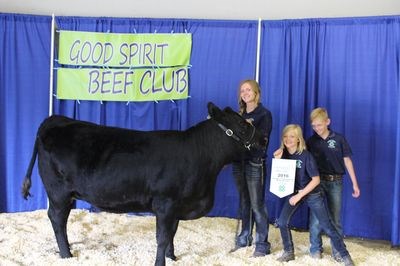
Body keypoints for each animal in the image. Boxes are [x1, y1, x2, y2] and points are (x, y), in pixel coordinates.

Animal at [21, 101, 266, 264]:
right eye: (242, 125)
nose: (264, 139)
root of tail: (55, 119)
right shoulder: (165, 203)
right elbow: (162, 238)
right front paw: (161, 262)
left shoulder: (176, 207)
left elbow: (172, 234)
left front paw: (173, 257)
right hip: (58, 192)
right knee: (57, 219)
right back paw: (66, 255)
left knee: (61, 220)